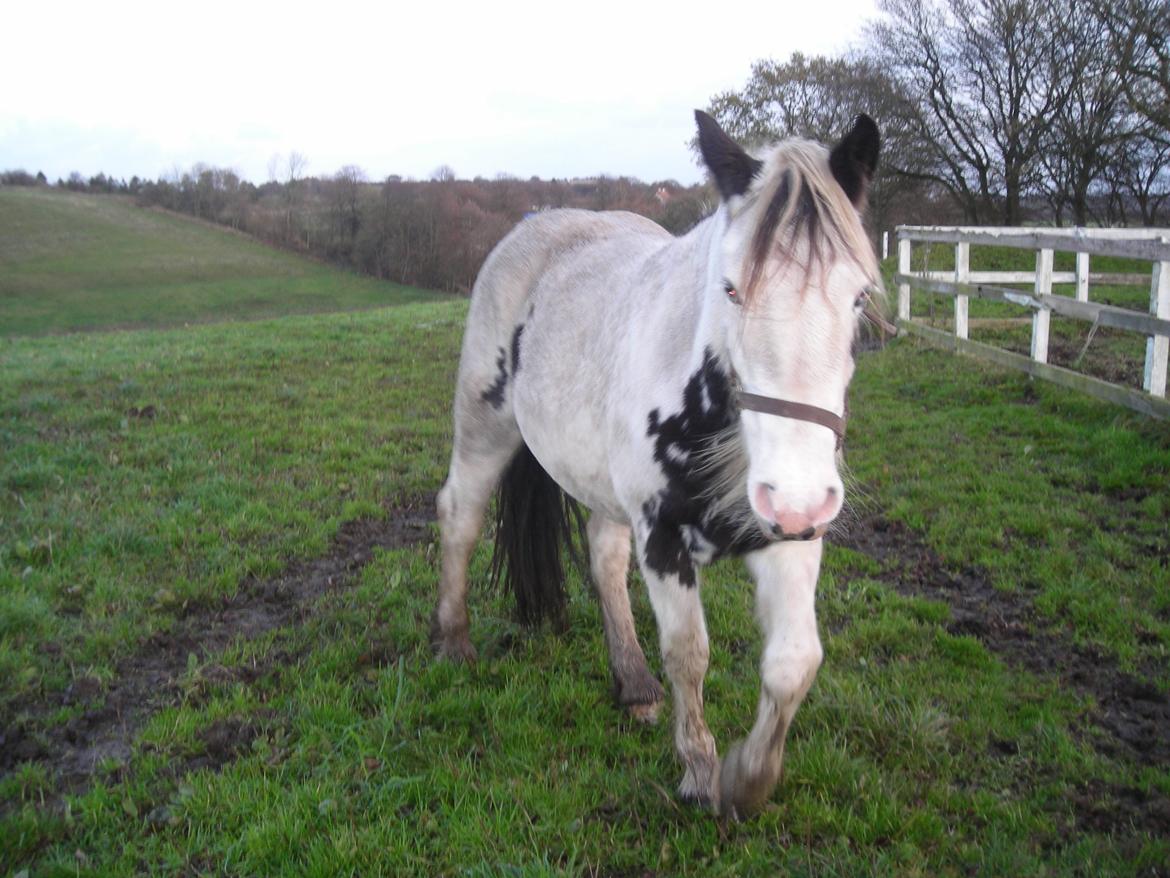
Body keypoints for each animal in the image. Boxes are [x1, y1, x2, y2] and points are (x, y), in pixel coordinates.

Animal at [435, 108, 879, 819]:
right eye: (731, 289)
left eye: (859, 296)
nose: (798, 497)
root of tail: (538, 223)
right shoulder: (665, 540)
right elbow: (689, 654)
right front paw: (700, 773)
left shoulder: (787, 537)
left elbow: (794, 663)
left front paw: (748, 780)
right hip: (484, 430)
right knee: (461, 519)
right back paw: (454, 641)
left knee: (604, 556)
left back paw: (634, 682)